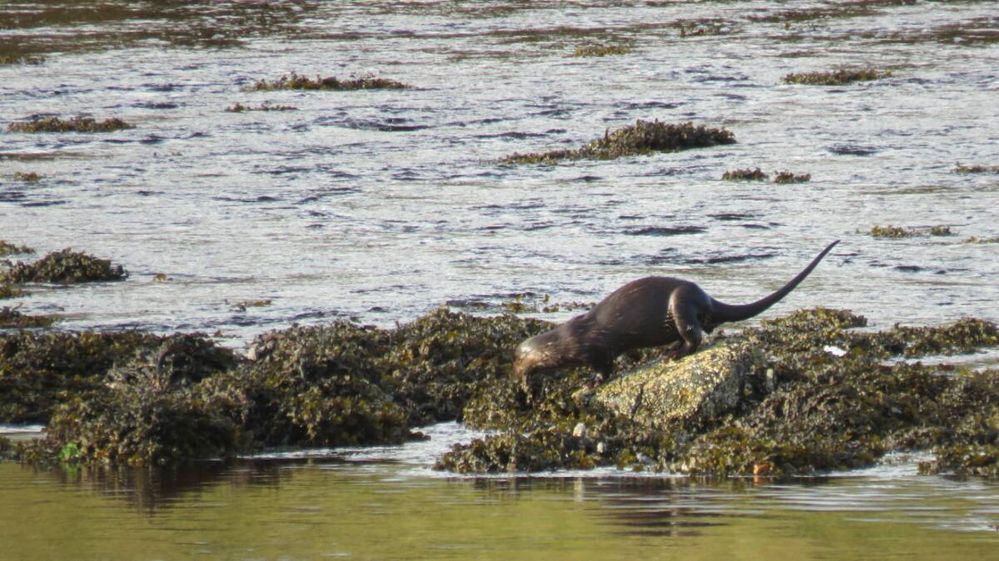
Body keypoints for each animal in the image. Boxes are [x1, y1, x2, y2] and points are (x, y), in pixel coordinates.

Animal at [512, 240, 839, 380]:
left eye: (517, 361)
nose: (515, 374)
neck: (565, 340)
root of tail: (705, 296)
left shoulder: (595, 349)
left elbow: (604, 368)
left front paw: (591, 383)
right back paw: (667, 350)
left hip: (680, 303)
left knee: (696, 337)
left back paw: (674, 354)